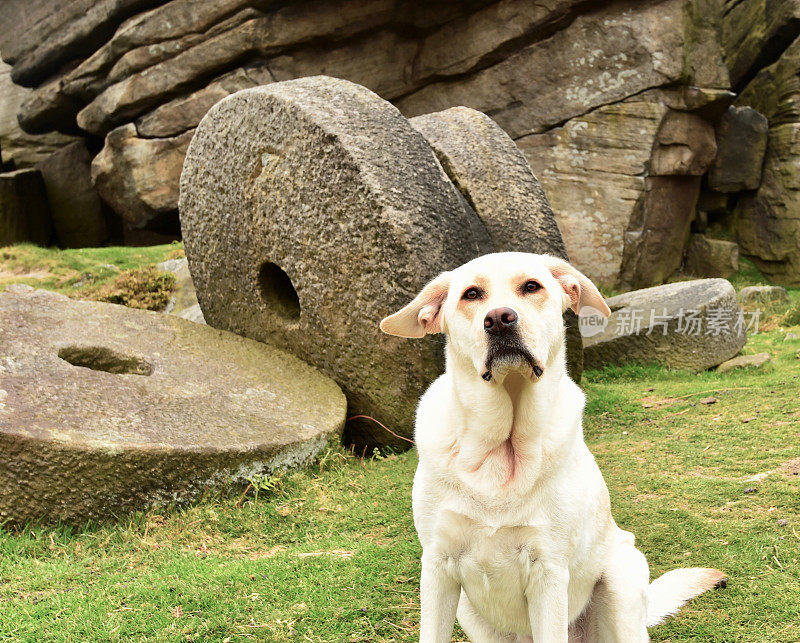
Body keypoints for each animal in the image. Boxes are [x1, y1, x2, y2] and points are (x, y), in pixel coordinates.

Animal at [382, 253, 724, 643]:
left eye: (532, 287)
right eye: (471, 294)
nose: (499, 319)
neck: (502, 451)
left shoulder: (548, 573)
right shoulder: (438, 568)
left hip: (622, 574)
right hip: (469, 611)